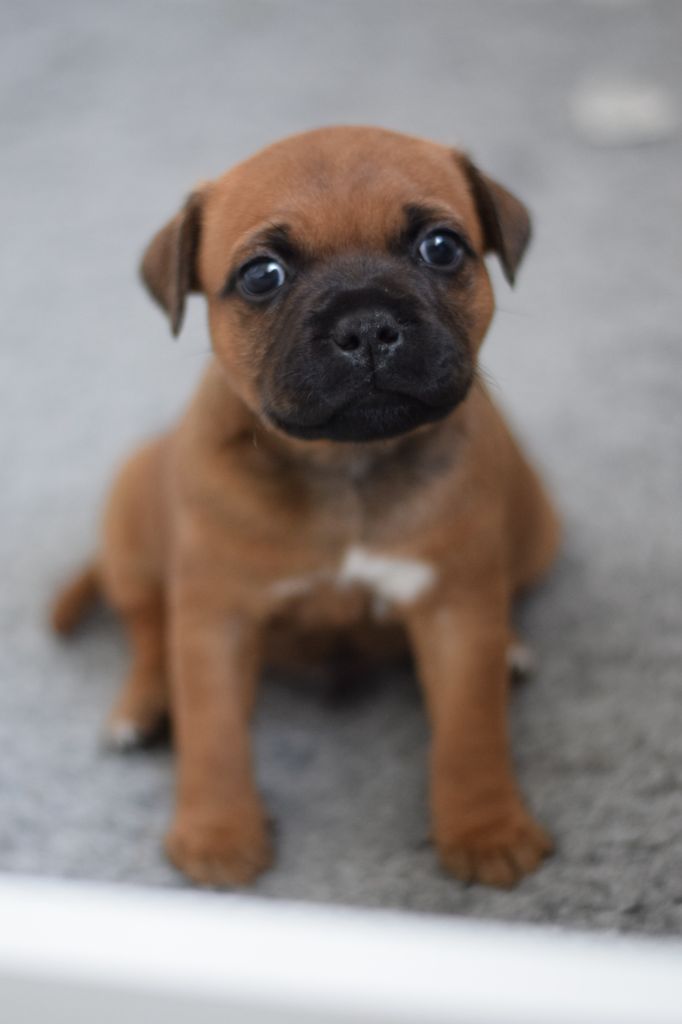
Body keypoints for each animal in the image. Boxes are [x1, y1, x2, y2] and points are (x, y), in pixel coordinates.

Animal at [52, 126, 560, 889]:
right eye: (262, 275)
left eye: (441, 248)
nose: (368, 325)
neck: (342, 464)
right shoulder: (216, 618)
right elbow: (213, 733)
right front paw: (217, 835)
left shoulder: (454, 607)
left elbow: (471, 729)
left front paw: (486, 829)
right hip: (134, 526)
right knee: (146, 628)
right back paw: (141, 705)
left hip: (535, 521)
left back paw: (516, 648)